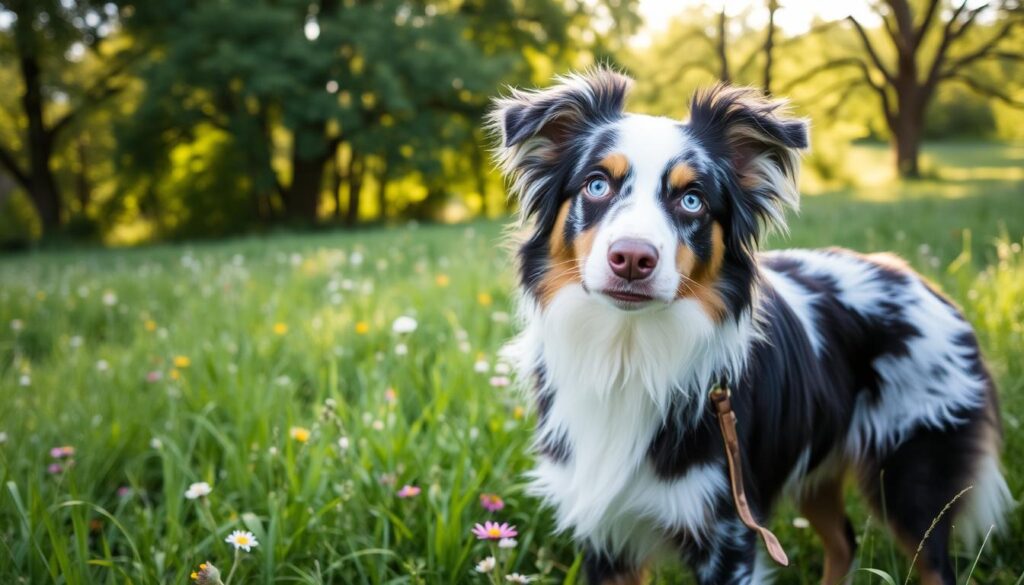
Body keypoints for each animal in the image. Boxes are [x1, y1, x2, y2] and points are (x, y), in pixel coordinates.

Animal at [489, 69, 1015, 585]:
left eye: (693, 200)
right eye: (597, 185)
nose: (633, 259)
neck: (628, 352)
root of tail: (930, 287)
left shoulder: (728, 533)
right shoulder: (606, 532)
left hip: (913, 482)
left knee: (933, 561)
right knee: (844, 539)